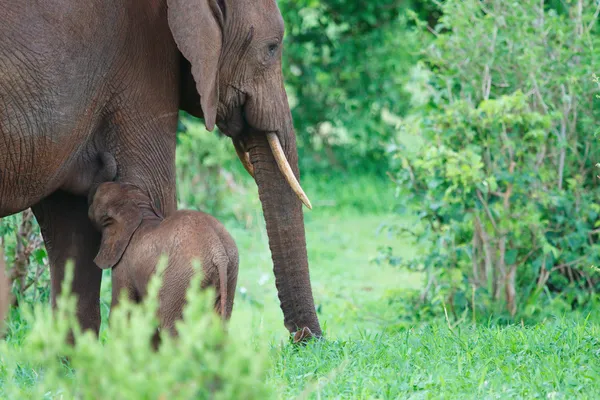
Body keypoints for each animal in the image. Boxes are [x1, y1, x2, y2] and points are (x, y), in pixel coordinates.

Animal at [89, 183, 239, 336]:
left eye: (94, 199)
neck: (139, 207)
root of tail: (217, 249)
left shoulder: (123, 264)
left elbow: (121, 312)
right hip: (231, 271)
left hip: (181, 277)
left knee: (171, 326)